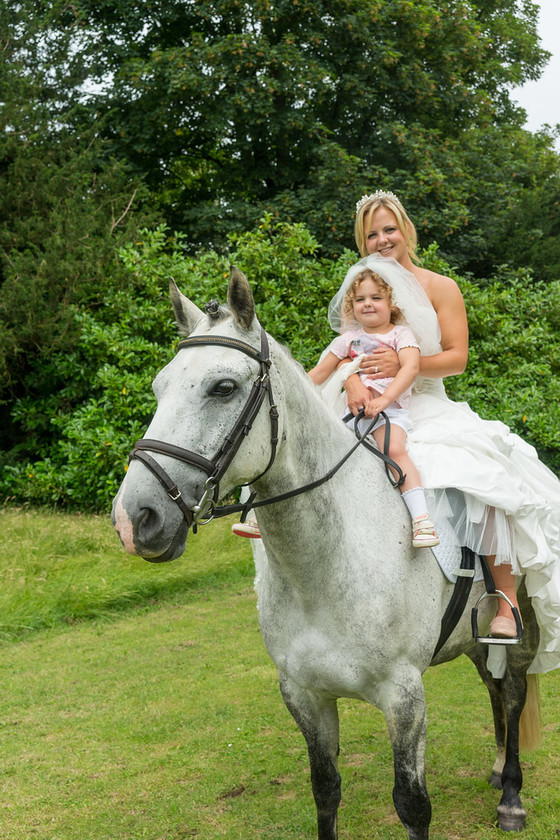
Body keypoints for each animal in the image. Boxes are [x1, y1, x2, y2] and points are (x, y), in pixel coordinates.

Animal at [111, 270, 540, 840]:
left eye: (223, 388)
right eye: (159, 387)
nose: (134, 519)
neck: (323, 566)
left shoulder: (404, 697)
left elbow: (412, 803)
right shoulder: (304, 695)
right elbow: (326, 790)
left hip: (520, 630)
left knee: (511, 691)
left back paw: (511, 794)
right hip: (474, 636)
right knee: (492, 685)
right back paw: (496, 770)